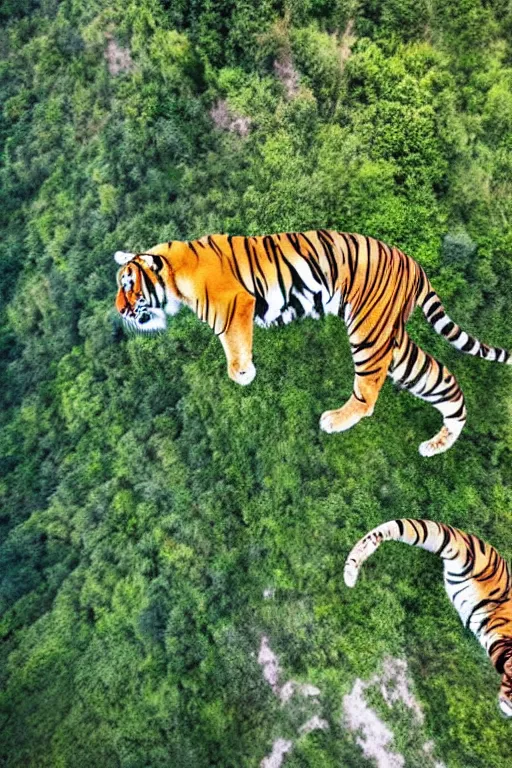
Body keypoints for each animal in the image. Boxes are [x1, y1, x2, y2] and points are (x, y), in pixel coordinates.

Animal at [114, 228, 510, 456]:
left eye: (129, 285)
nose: (119, 310)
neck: (174, 276)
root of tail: (416, 266)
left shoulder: (234, 303)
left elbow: (231, 341)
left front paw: (243, 373)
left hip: (370, 331)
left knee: (368, 393)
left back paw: (334, 421)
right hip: (394, 344)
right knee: (445, 382)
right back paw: (438, 444)